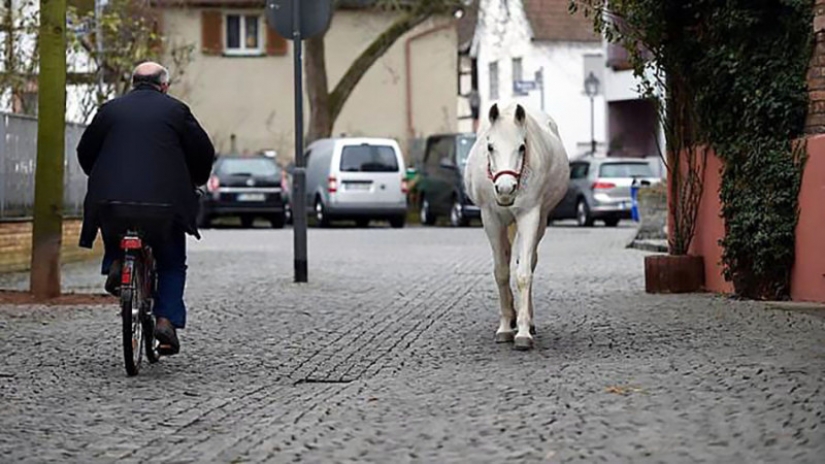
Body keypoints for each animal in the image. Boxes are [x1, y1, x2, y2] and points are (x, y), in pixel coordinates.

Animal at [460, 100, 568, 348]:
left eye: (521, 147)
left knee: (529, 261)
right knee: (508, 256)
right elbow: (501, 272)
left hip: (540, 220)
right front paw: (504, 327)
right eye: (490, 147)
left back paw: (526, 319)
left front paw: (523, 331)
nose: (505, 189)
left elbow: (523, 273)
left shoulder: (530, 215)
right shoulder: (490, 217)